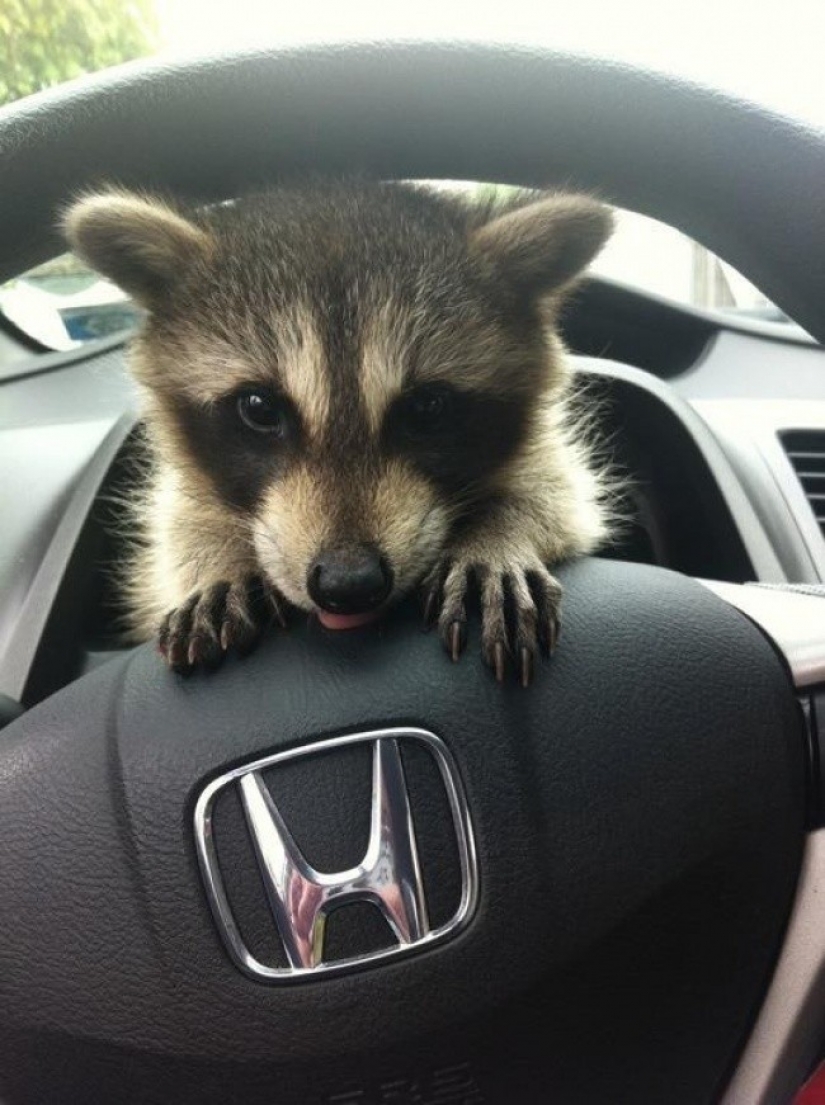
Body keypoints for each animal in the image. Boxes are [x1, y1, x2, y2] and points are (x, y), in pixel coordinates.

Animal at [64, 180, 614, 686]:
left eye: (427, 407)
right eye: (259, 408)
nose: (348, 584)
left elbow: (560, 491)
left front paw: (497, 532)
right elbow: (178, 521)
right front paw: (219, 558)